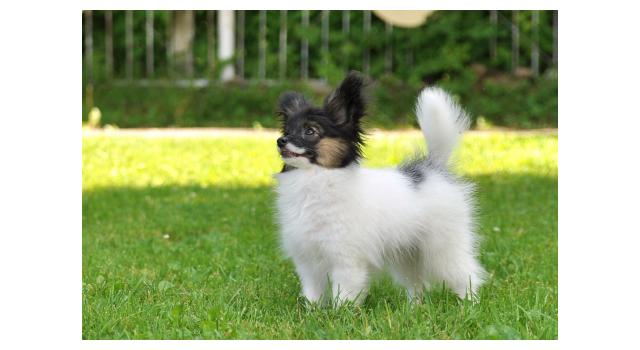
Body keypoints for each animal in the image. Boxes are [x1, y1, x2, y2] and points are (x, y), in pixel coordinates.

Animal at [274, 72, 484, 304]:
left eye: (310, 131)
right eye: (287, 130)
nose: (280, 141)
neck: (315, 178)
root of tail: (433, 167)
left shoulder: (347, 260)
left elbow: (343, 293)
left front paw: (341, 312)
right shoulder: (308, 261)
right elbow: (313, 294)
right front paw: (312, 311)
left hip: (444, 247)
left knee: (465, 274)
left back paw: (470, 303)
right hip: (407, 253)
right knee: (417, 284)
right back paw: (415, 308)